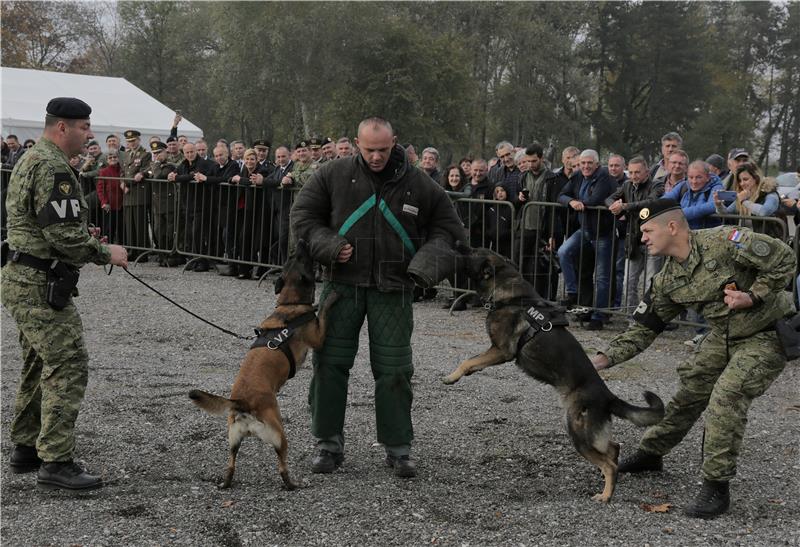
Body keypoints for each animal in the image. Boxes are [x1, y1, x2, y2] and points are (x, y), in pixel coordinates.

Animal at [190, 242, 338, 490]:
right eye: (302, 258)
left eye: (292, 257)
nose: (301, 242)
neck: (289, 304)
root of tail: (243, 403)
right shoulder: (317, 336)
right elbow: (325, 312)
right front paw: (331, 297)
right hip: (279, 435)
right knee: (282, 466)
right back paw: (292, 484)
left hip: (233, 441)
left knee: (230, 464)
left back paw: (226, 482)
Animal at [444, 246, 664, 504]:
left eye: (472, 253)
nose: (458, 246)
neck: (510, 293)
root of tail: (608, 396)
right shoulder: (495, 351)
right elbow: (473, 361)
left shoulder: (501, 350)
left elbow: (467, 359)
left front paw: (452, 377)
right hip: (591, 434)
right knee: (613, 448)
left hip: (577, 431)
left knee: (610, 463)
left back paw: (605, 495)